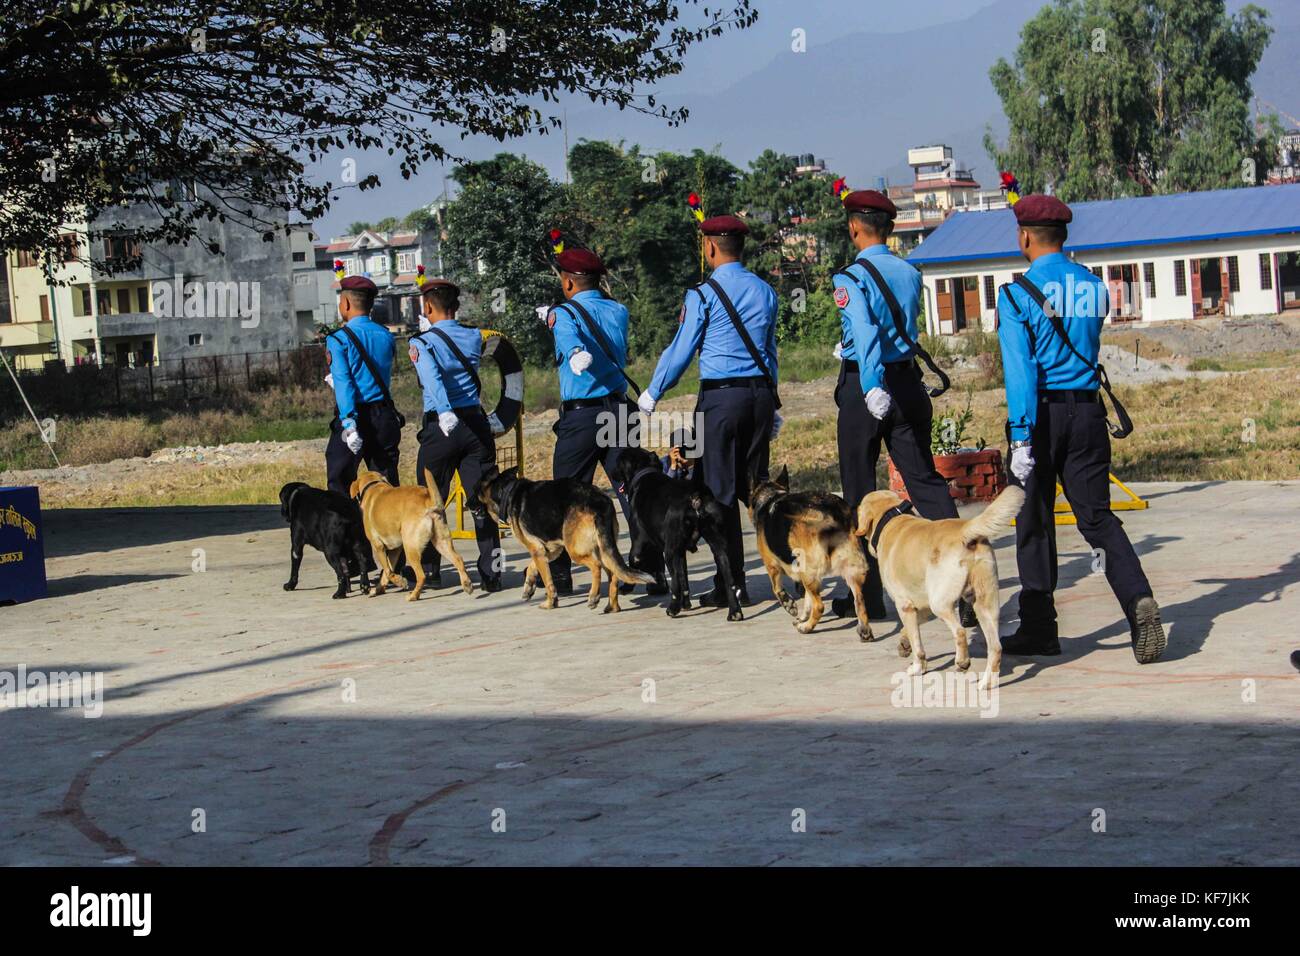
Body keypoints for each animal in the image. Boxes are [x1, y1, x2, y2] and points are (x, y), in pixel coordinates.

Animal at [348, 468, 475, 600]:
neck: (373, 485)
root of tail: (428, 500)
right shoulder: (395, 549)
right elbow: (387, 572)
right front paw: (379, 589)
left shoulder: (378, 546)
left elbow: (388, 571)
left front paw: (400, 582)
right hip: (441, 542)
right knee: (458, 559)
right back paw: (467, 584)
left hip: (410, 548)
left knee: (421, 575)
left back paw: (413, 595)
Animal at [473, 465, 650, 613]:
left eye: (475, 492)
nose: (468, 505)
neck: (507, 492)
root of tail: (599, 502)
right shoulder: (548, 550)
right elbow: (531, 567)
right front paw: (529, 588)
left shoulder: (537, 550)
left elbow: (548, 580)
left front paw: (551, 602)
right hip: (603, 548)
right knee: (613, 574)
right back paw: (612, 607)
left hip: (576, 551)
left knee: (596, 566)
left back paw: (594, 596)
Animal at [608, 447, 743, 624]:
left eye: (618, 462)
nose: (612, 473)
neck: (644, 472)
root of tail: (695, 495)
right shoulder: (681, 551)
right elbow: (684, 577)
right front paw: (686, 604)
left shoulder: (639, 544)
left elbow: (633, 562)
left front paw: (626, 586)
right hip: (719, 549)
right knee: (729, 580)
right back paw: (734, 611)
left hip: (669, 551)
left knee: (675, 585)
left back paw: (673, 608)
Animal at [748, 468, 868, 639]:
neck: (771, 497)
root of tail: (829, 514)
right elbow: (806, 599)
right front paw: (803, 616)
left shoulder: (771, 565)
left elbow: (777, 588)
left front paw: (789, 605)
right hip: (851, 571)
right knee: (860, 602)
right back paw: (865, 631)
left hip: (808, 572)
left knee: (819, 606)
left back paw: (806, 628)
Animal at [852, 486, 1024, 686]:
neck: (891, 518)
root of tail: (965, 530)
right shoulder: (922, 606)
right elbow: (909, 629)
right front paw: (904, 643)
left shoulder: (905, 605)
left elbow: (917, 644)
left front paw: (917, 667)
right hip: (985, 605)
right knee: (996, 647)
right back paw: (986, 684)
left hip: (940, 603)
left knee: (960, 632)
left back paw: (962, 662)